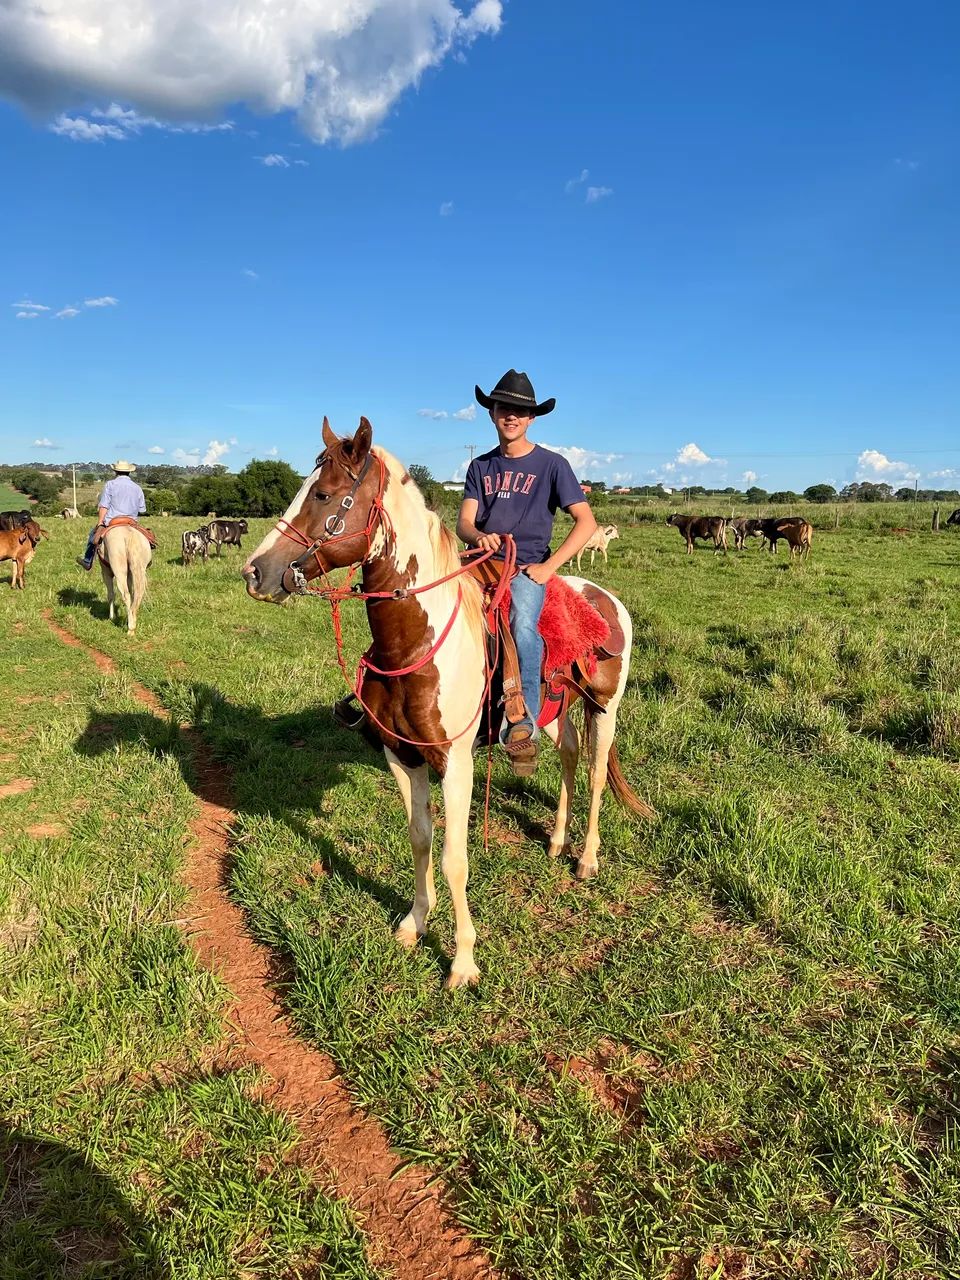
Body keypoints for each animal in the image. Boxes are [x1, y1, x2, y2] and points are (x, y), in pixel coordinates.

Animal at [242, 417, 653, 989]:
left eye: (323, 495)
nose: (255, 572)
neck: (418, 639)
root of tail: (601, 595)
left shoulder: (455, 762)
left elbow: (455, 858)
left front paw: (462, 961)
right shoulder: (402, 756)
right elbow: (419, 837)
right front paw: (414, 922)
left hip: (604, 706)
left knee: (595, 771)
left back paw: (587, 857)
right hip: (553, 711)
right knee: (570, 752)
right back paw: (556, 840)